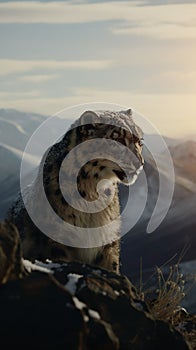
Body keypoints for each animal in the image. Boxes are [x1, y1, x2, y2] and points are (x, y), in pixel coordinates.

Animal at [7, 108, 144, 274]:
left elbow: (110, 266)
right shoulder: (58, 239)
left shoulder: (108, 240)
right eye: (116, 138)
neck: (92, 193)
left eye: (140, 141)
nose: (140, 163)